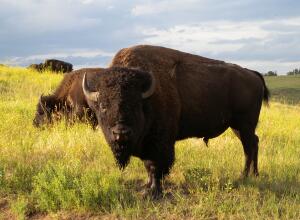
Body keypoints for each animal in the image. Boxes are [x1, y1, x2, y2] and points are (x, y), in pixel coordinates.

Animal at [82, 44, 270, 198]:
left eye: (136, 105)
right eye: (103, 106)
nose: (121, 133)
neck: (147, 97)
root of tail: (253, 74)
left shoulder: (160, 143)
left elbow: (155, 166)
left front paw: (154, 191)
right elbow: (148, 166)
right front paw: (147, 186)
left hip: (244, 125)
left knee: (248, 148)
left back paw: (243, 176)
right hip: (237, 127)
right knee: (254, 143)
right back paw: (254, 175)